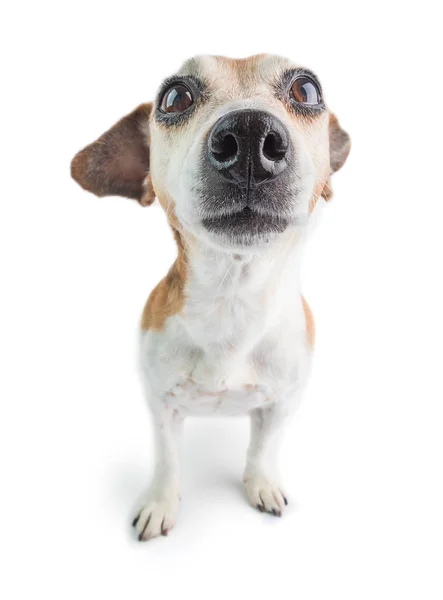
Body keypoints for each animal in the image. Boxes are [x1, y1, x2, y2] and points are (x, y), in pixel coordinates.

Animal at [72, 55, 350, 544]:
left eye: (307, 91)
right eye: (174, 97)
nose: (250, 134)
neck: (232, 301)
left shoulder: (283, 403)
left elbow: (263, 447)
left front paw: (261, 483)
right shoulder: (161, 403)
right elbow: (167, 459)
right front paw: (161, 502)